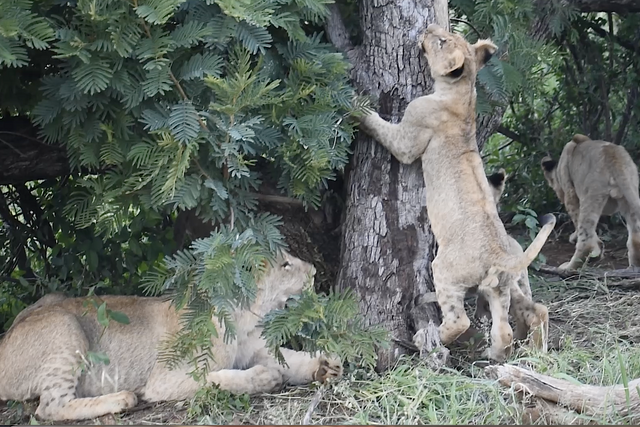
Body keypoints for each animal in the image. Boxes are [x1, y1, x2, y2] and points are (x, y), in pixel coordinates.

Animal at [0, 251, 342, 421]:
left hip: (53, 298)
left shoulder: (257, 349)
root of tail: (4, 338)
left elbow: (292, 359)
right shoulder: (163, 380)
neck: (245, 318)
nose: (314, 271)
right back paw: (122, 398)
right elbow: (217, 380)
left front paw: (327, 365)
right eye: (285, 264)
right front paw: (265, 378)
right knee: (49, 408)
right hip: (65, 326)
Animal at [357, 23, 555, 362]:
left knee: (459, 320)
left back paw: (428, 336)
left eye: (441, 41)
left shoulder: (409, 137)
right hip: (499, 289)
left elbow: (382, 128)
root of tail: (500, 255)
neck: (464, 94)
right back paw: (494, 355)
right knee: (505, 330)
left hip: (446, 271)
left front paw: (356, 108)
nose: (427, 27)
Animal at [541, 134, 640, 271]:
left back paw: (569, 267)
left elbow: (576, 221)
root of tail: (612, 154)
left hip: (590, 195)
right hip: (630, 192)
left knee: (586, 241)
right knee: (635, 237)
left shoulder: (570, 193)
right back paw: (633, 267)